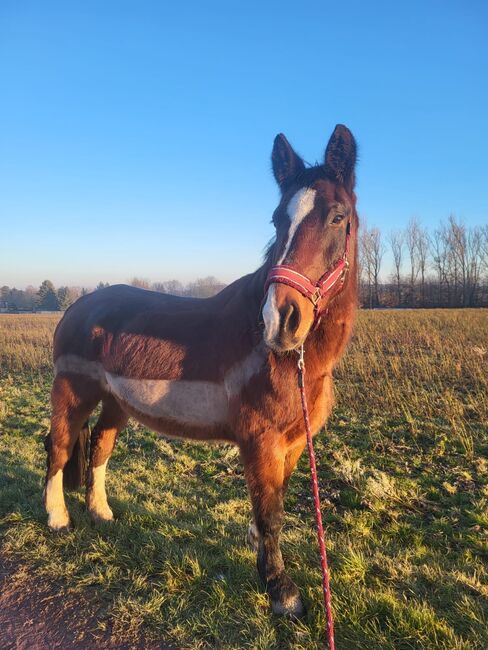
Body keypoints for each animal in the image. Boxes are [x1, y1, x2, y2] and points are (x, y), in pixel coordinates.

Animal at [43, 124, 358, 616]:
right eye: (276, 220)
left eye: (338, 217)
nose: (281, 320)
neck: (286, 359)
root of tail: (78, 305)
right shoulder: (260, 440)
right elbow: (271, 511)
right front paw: (281, 591)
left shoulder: (291, 442)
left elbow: (272, 504)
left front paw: (262, 558)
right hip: (71, 391)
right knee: (58, 448)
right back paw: (58, 518)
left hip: (116, 403)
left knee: (98, 448)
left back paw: (101, 513)